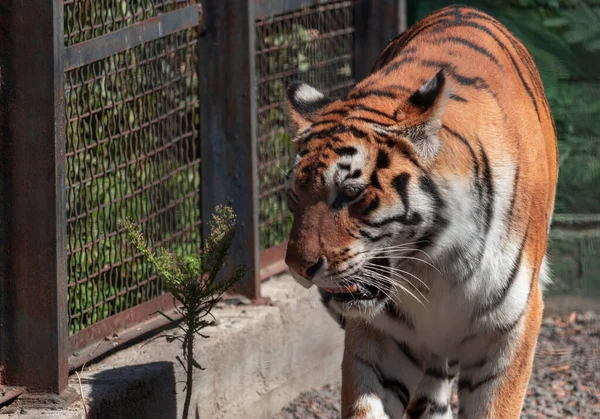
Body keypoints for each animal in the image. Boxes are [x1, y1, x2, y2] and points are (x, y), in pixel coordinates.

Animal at [282, 4, 556, 419]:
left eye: (351, 193)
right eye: (293, 196)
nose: (299, 269)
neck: (436, 265)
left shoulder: (510, 331)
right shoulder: (381, 336)